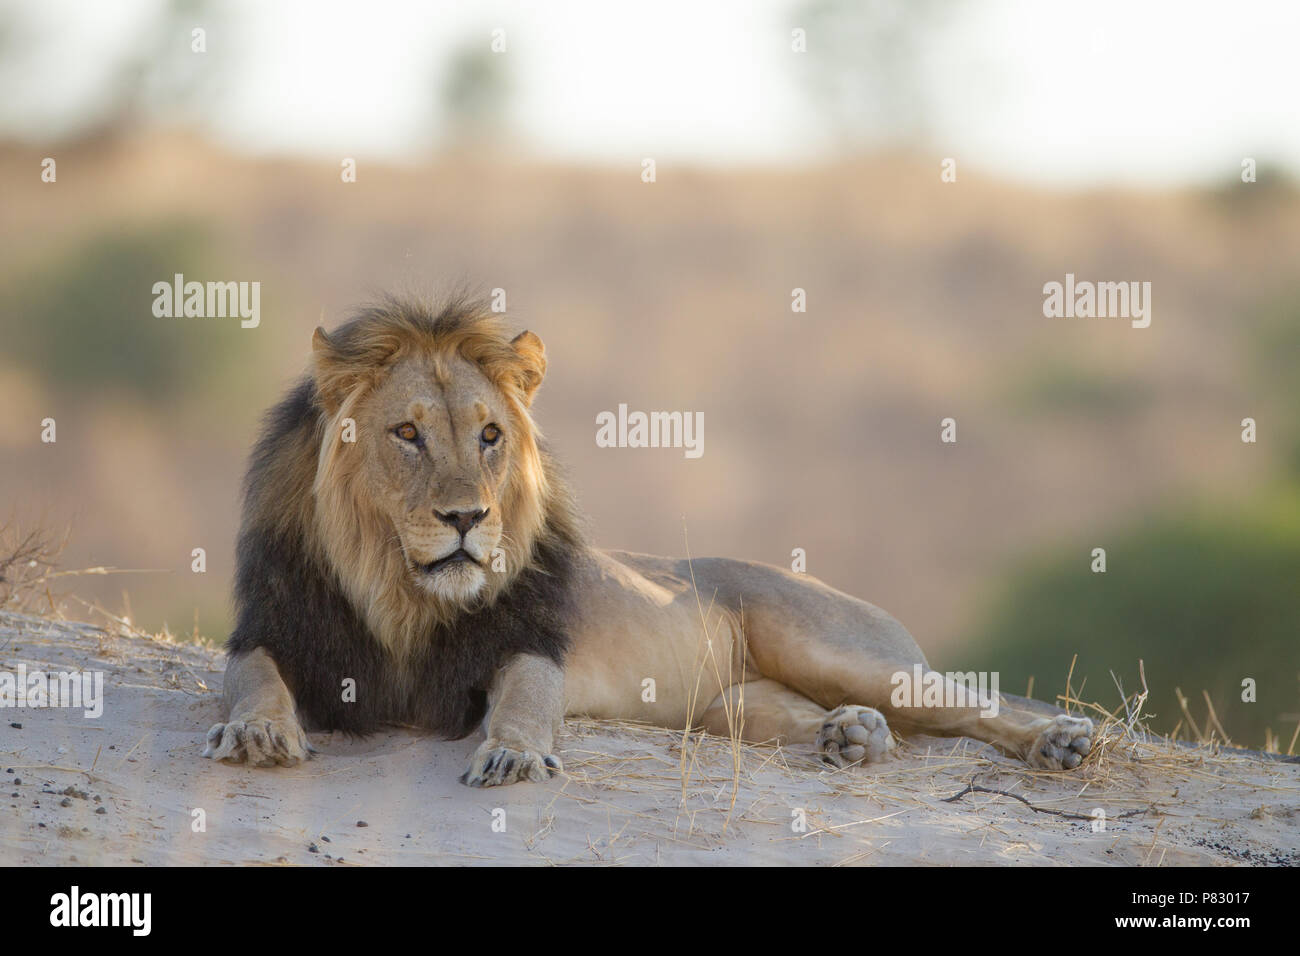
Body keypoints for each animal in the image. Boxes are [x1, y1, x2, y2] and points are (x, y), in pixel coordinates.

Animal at [205, 295, 1093, 786]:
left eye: (490, 435)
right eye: (406, 435)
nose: (468, 519)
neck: (395, 588)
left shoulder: (528, 648)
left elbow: (523, 705)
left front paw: (514, 756)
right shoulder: (268, 632)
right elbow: (253, 681)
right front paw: (258, 733)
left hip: (833, 646)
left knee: (975, 704)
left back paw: (1059, 740)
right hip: (735, 707)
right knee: (843, 721)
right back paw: (850, 736)